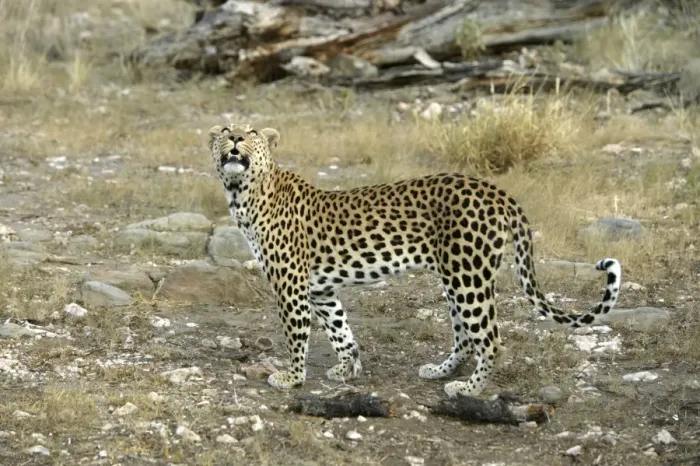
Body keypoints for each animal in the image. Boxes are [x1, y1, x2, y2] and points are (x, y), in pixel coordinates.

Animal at [206, 122, 623, 398]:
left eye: (251, 131)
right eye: (225, 129)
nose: (235, 138)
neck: (243, 193)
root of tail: (498, 191)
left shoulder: (291, 285)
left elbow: (296, 335)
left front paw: (291, 378)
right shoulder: (319, 289)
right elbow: (341, 330)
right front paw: (347, 368)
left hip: (468, 277)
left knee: (490, 339)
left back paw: (468, 388)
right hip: (456, 277)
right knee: (466, 337)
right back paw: (439, 371)